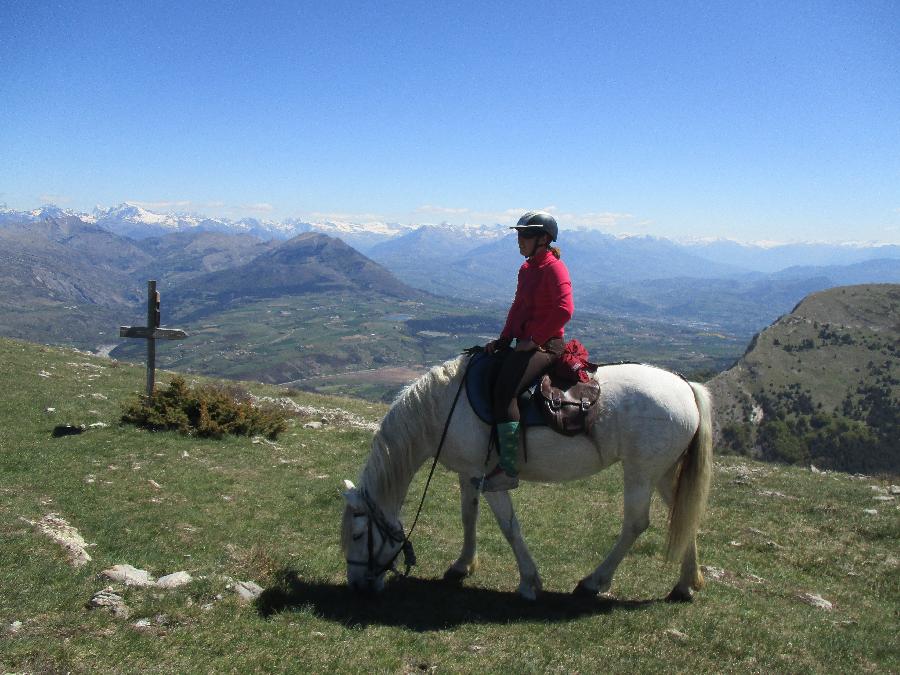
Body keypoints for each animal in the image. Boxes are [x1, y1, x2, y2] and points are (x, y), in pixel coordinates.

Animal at [338, 356, 712, 604]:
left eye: (357, 534)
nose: (357, 585)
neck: (443, 409)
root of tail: (685, 386)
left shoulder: (489, 479)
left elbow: (509, 526)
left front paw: (529, 582)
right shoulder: (469, 473)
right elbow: (468, 516)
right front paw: (461, 566)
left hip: (640, 472)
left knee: (635, 524)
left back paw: (594, 582)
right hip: (663, 472)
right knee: (686, 516)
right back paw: (685, 585)